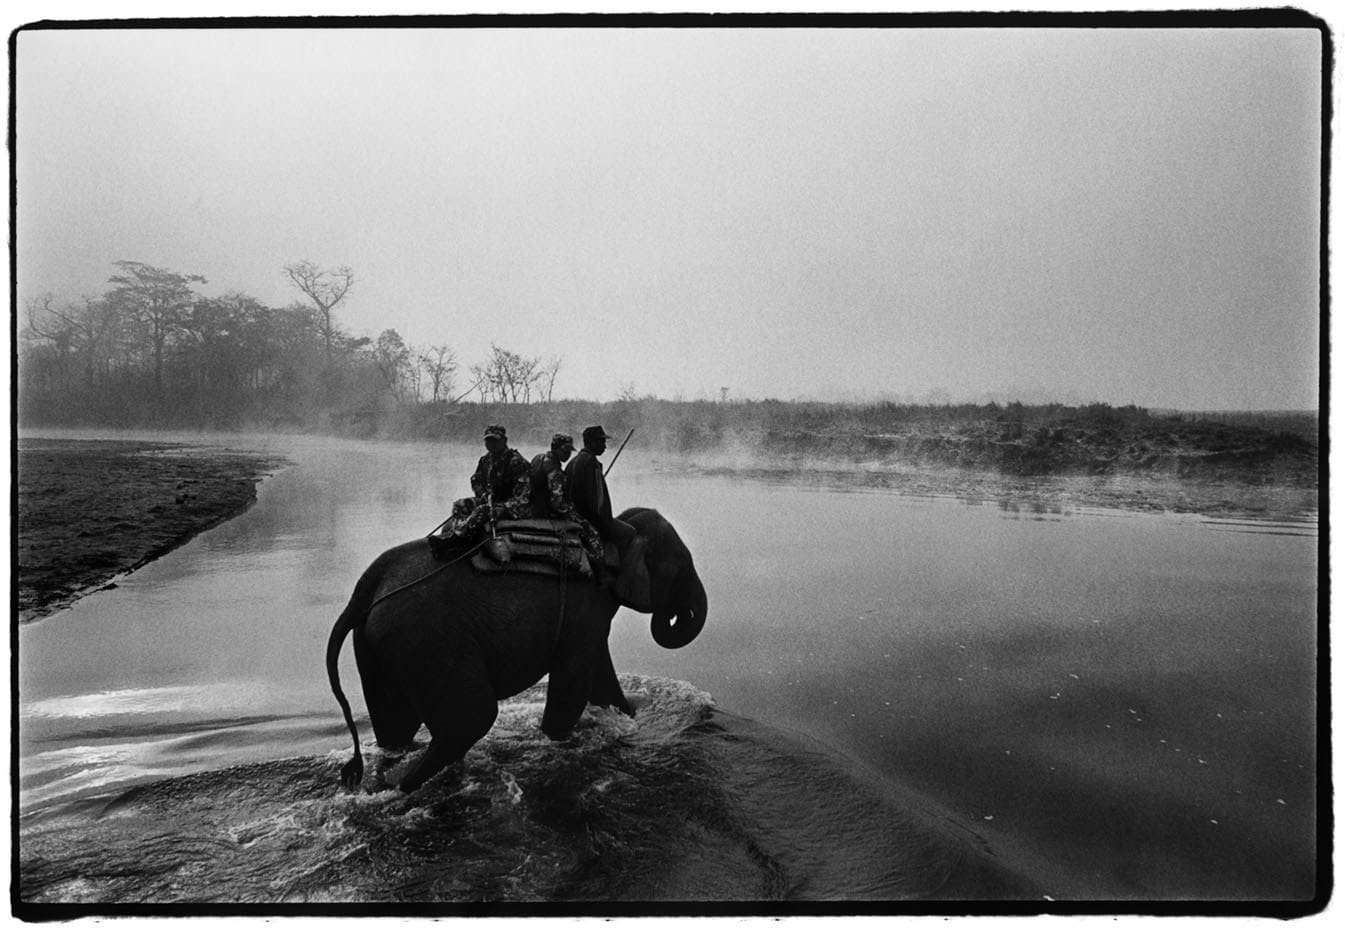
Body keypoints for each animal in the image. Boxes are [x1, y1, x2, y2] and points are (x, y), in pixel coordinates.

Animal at [328, 508, 704, 790]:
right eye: (681, 568)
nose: (677, 613)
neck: (614, 532)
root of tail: (364, 590)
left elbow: (600, 681)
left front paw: (630, 715)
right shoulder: (585, 610)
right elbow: (573, 685)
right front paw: (558, 740)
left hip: (381, 646)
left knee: (396, 728)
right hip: (428, 639)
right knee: (471, 720)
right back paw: (401, 787)